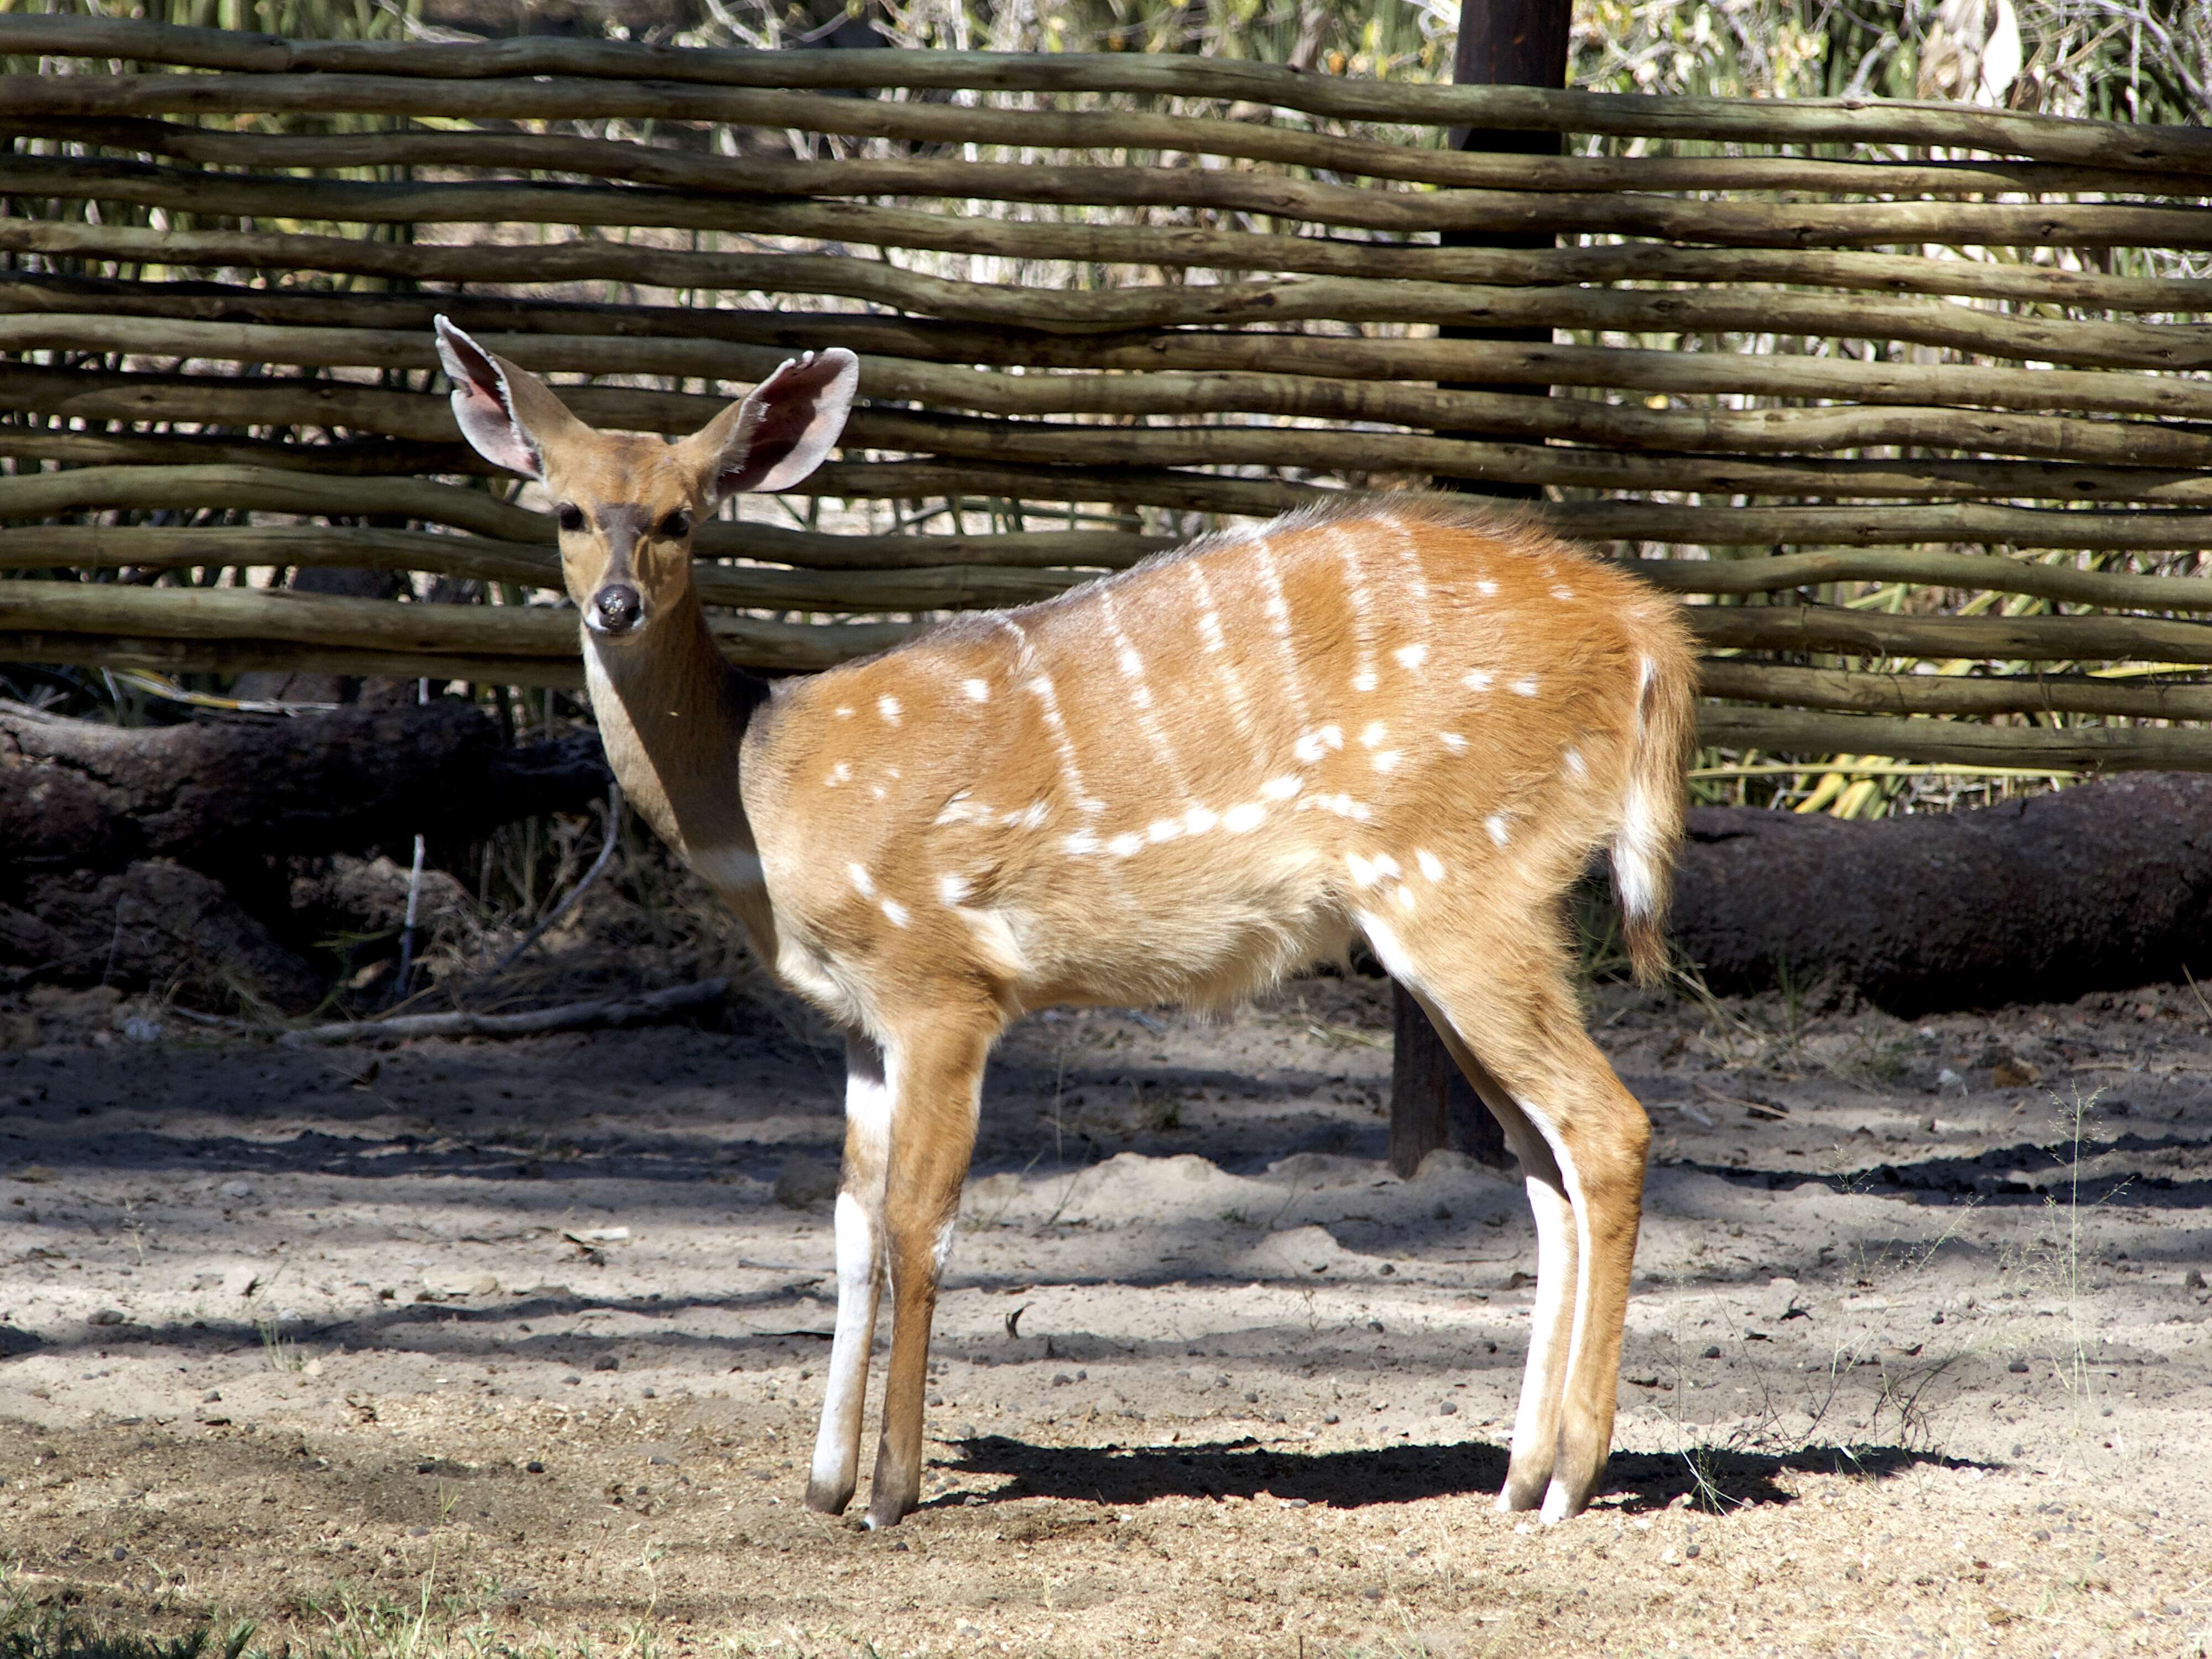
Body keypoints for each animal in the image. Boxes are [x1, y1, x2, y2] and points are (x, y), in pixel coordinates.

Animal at [440, 314, 1699, 1531]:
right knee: (1542, 1167)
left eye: (680, 518)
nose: (615, 605)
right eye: (565, 510)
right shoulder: (856, 1022)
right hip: (1463, 912)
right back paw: (1517, 1479)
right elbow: (847, 1228)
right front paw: (820, 1484)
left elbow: (918, 1225)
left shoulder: (944, 983)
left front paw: (889, 1494)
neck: (768, 790)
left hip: (1461, 883)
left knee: (1607, 1129)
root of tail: (1649, 634)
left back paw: (1571, 1482)